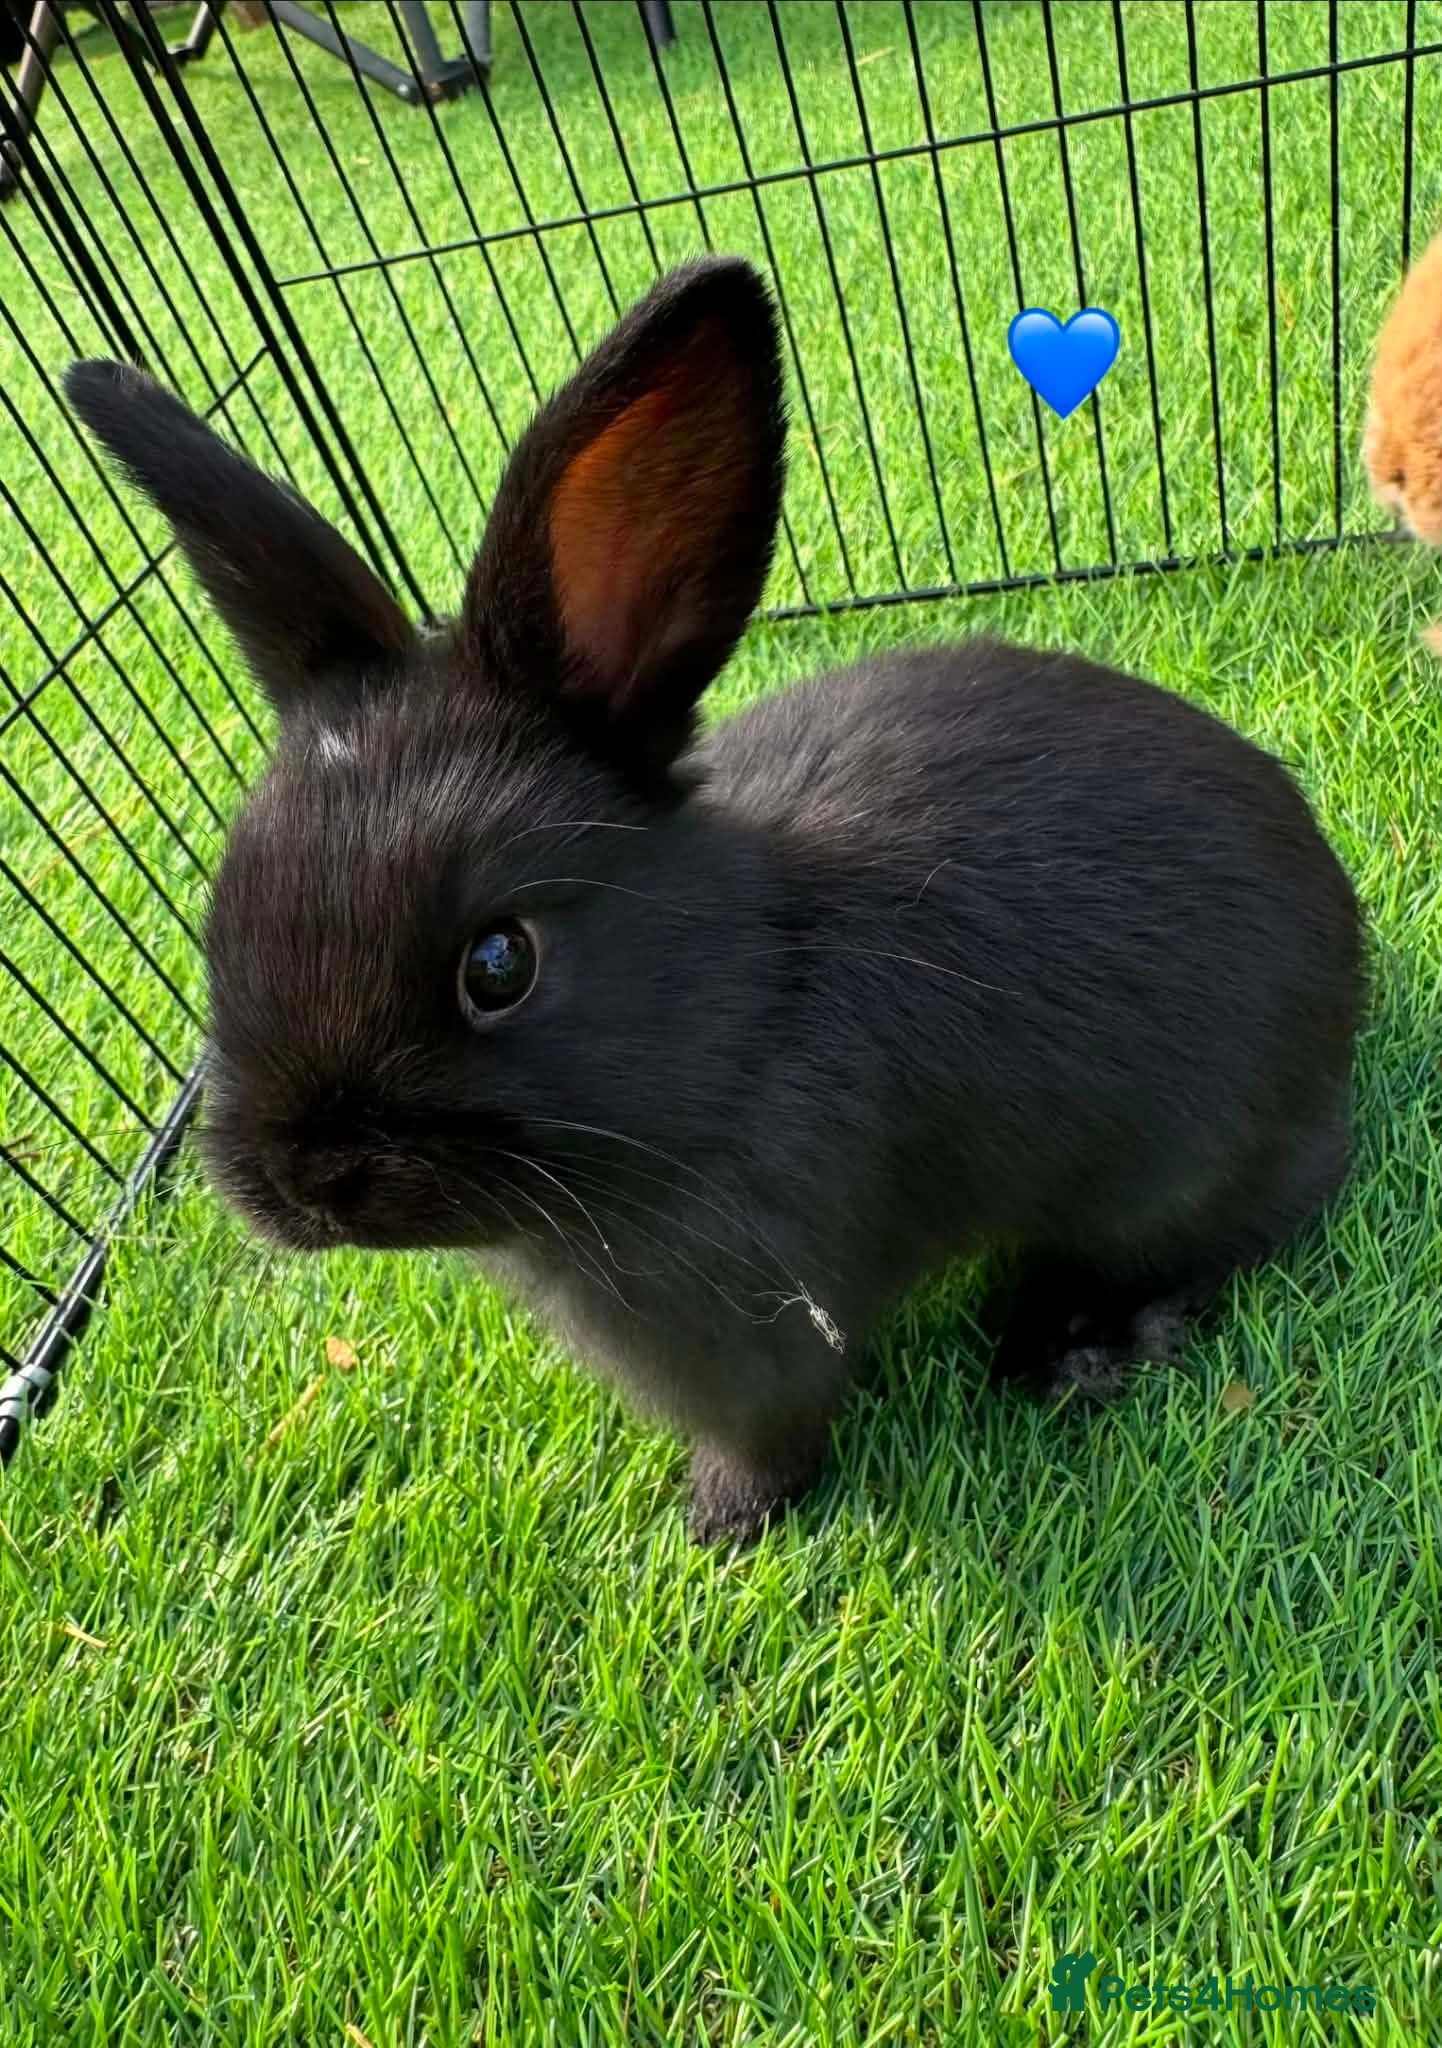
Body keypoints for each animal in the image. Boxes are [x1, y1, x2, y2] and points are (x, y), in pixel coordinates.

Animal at [64, 256, 1363, 1546]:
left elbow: (770, 1429)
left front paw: (719, 1524)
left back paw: (1079, 1344)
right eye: (223, 918)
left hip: (1176, 1175)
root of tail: (1346, 962)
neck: (745, 1019)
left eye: (499, 964)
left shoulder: (755, 1334)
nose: (296, 1182)